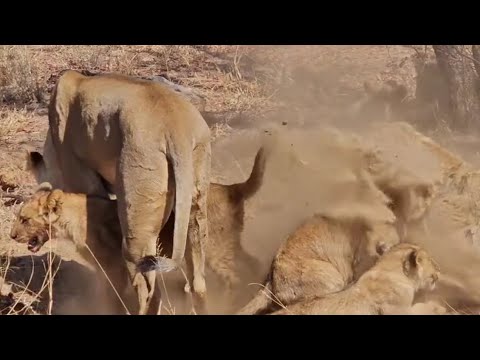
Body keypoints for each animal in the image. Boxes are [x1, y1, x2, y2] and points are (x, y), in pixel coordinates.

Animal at [10, 148, 266, 314]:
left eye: (24, 219)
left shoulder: (113, 268)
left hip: (213, 249)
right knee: (253, 262)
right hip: (226, 244)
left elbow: (114, 297)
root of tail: (232, 188)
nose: (11, 236)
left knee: (233, 277)